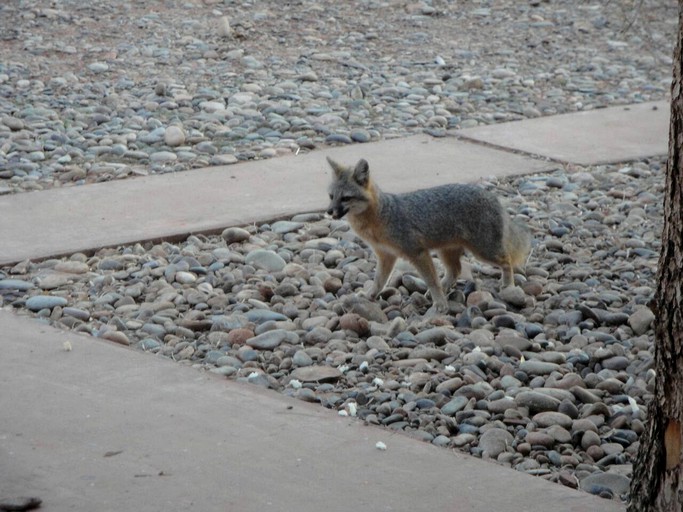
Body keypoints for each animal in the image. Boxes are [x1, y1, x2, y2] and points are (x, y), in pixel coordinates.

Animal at [328, 158, 536, 314]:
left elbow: (431, 280)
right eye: (331, 196)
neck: (382, 216)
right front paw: (369, 295)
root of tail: (493, 197)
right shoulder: (386, 256)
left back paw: (508, 286)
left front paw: (440, 304)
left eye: (345, 198)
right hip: (447, 251)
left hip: (484, 251)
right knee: (455, 270)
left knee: (507, 261)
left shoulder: (417, 252)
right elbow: (379, 280)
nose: (329, 212)